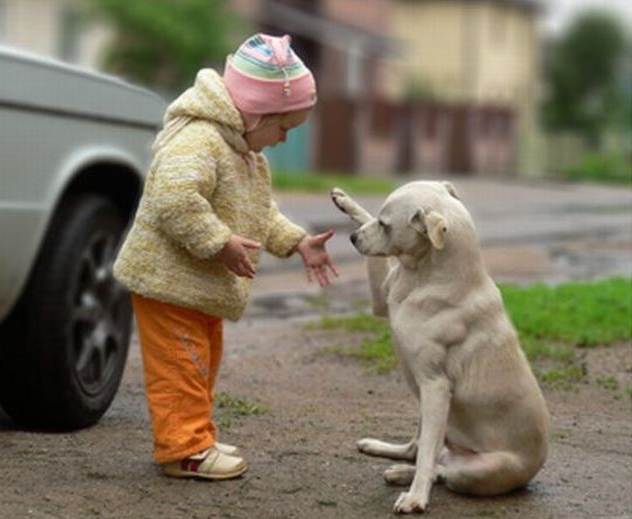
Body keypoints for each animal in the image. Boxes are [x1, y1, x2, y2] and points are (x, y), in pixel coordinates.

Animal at [330, 181, 548, 512]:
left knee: (437, 468)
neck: (425, 275)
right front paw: (345, 202)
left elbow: (426, 462)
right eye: (378, 218)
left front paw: (416, 499)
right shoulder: (382, 301)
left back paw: (410, 481)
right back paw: (389, 458)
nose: (353, 238)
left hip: (476, 468)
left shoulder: (435, 387)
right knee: (420, 451)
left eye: (385, 225)